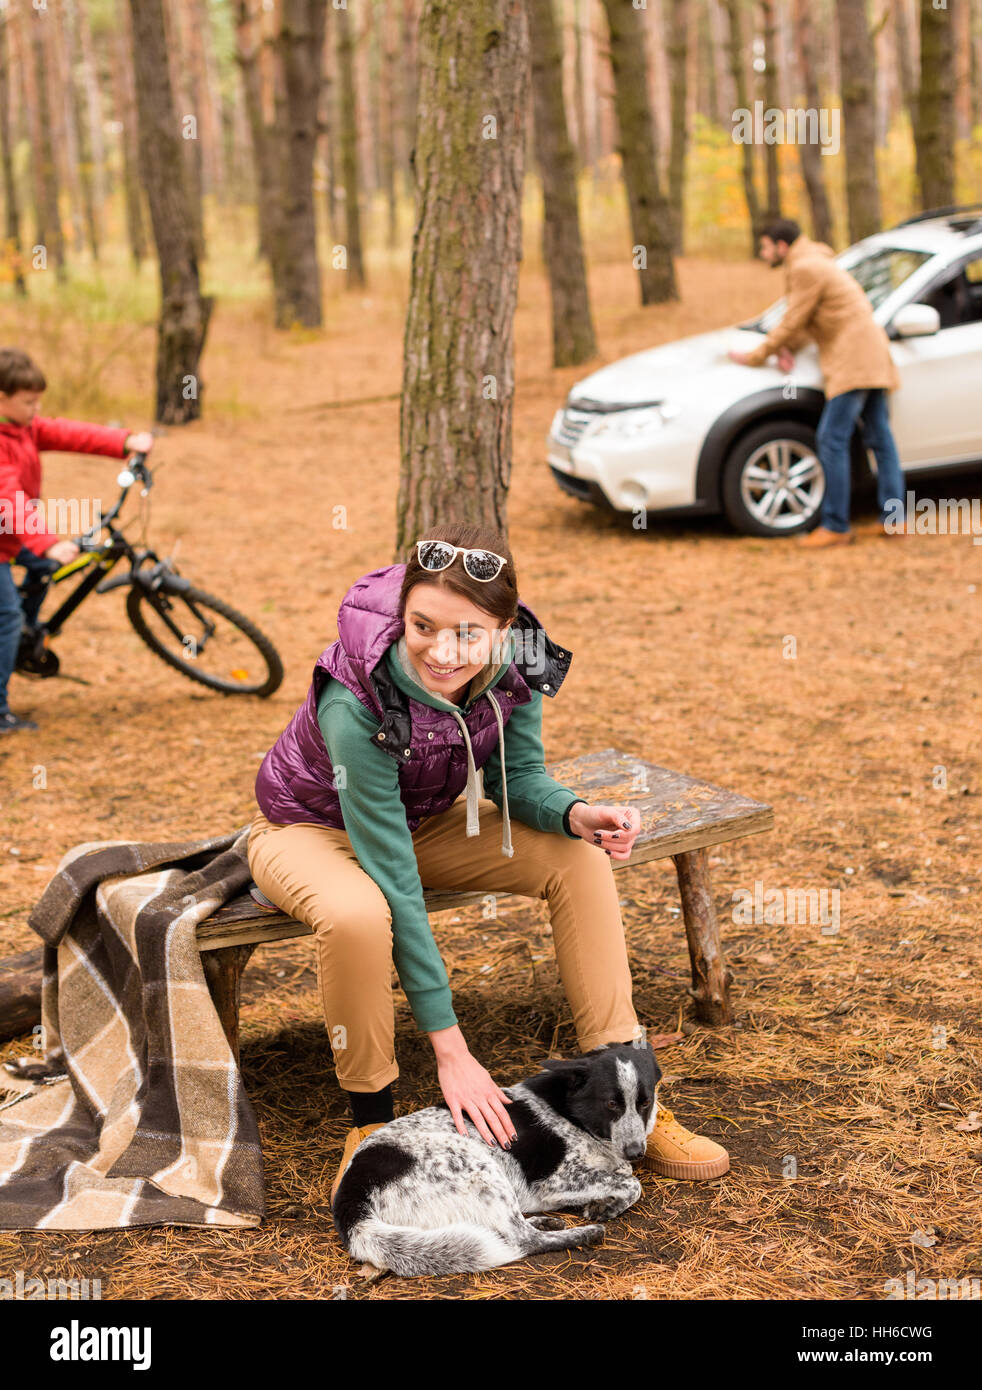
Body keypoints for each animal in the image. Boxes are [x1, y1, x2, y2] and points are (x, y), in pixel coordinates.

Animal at [328, 1039, 656, 1273]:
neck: (571, 1110)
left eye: (645, 1103)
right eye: (611, 1104)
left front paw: (606, 1200)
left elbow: (625, 1175)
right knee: (522, 1239)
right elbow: (632, 1182)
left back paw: (544, 1221)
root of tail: (352, 1197)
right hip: (477, 1164)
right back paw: (586, 1234)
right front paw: (607, 1206)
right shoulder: (554, 1181)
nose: (636, 1152)